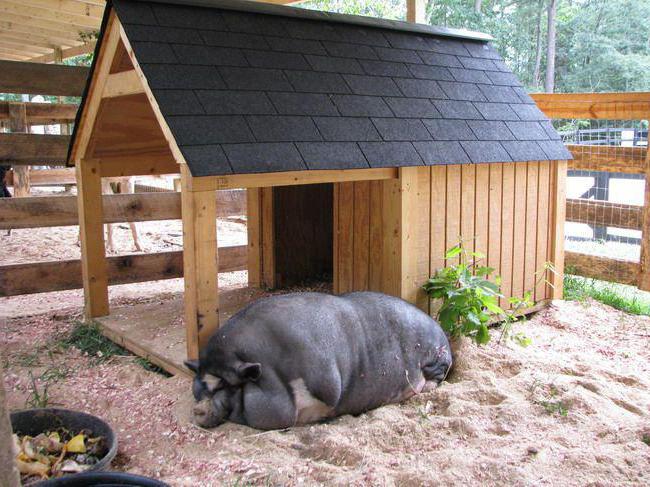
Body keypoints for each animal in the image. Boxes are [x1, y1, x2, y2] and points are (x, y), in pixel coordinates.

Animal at [185, 291, 452, 430]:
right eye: (201, 385)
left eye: (227, 385)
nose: (198, 409)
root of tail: (442, 333)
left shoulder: (325, 382)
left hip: (436, 360)